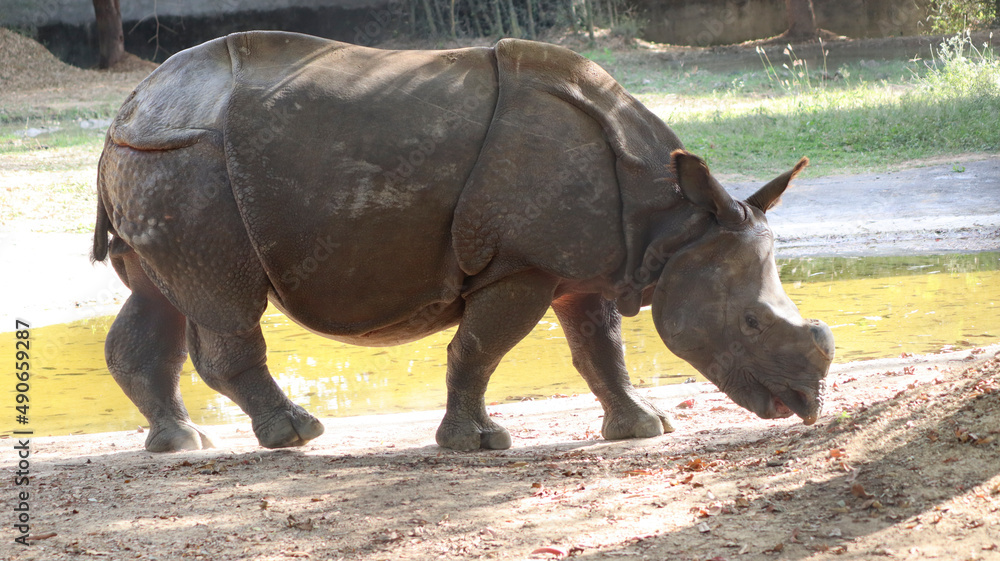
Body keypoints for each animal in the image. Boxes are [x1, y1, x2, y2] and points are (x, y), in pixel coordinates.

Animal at [92, 31, 834, 452]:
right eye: (750, 321)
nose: (806, 406)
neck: (674, 223)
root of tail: (128, 106)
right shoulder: (520, 263)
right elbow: (479, 348)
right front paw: (478, 444)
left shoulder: (583, 265)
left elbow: (601, 350)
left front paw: (643, 428)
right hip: (188, 161)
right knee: (224, 300)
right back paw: (294, 436)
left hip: (159, 157)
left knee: (159, 295)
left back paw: (181, 442)